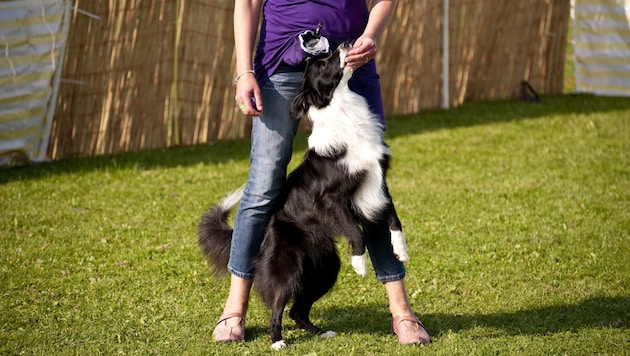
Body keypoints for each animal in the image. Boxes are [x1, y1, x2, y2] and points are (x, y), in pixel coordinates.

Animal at [200, 43, 412, 350]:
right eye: (322, 64)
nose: (345, 44)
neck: (343, 107)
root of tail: (265, 234)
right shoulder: (330, 200)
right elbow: (356, 231)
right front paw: (360, 265)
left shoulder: (377, 182)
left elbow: (394, 219)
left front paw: (401, 249)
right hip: (288, 268)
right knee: (278, 307)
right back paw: (277, 341)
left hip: (325, 269)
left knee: (297, 310)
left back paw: (320, 332)